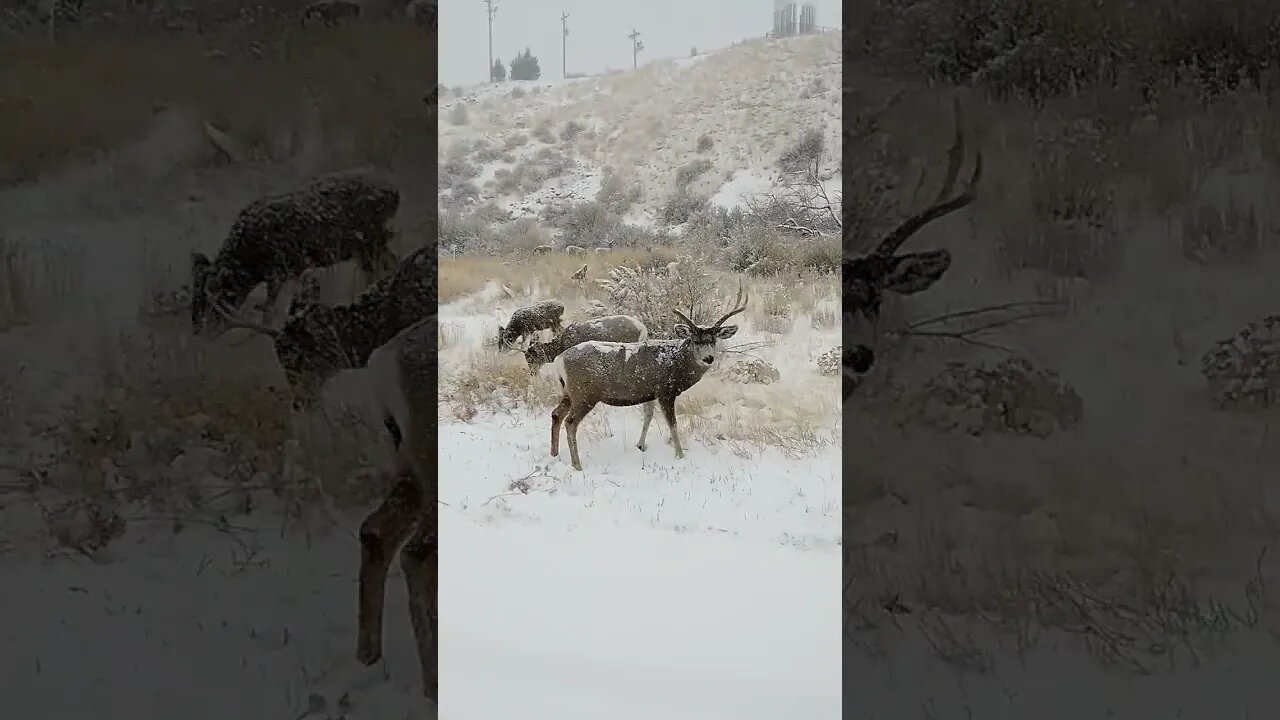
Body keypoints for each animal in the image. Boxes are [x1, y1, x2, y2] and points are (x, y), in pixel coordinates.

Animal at [189, 169, 396, 335]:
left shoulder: (277, 271)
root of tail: (395, 192)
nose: (197, 330)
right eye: (195, 294)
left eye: (214, 298)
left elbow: (269, 311)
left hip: (370, 242)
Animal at [550, 280, 747, 471]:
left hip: (569, 393)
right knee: (570, 423)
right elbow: (672, 424)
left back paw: (554, 454)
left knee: (556, 414)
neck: (677, 362)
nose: (708, 358)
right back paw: (577, 465)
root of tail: (559, 360)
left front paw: (640, 445)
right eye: (695, 340)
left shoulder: (649, 391)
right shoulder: (664, 391)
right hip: (585, 393)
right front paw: (680, 456)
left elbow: (648, 416)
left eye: (714, 340)